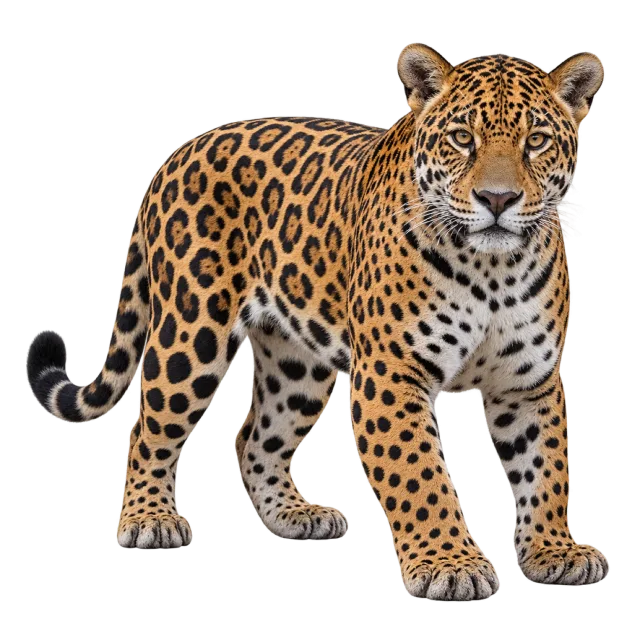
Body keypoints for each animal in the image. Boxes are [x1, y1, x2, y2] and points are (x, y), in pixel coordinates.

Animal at [27, 43, 608, 600]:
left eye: (537, 141)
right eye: (462, 138)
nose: (497, 199)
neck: (493, 271)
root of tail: (180, 152)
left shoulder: (529, 382)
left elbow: (546, 470)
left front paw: (555, 552)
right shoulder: (390, 376)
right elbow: (421, 479)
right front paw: (452, 565)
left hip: (297, 367)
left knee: (254, 438)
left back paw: (294, 515)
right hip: (190, 338)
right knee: (148, 427)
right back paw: (149, 518)